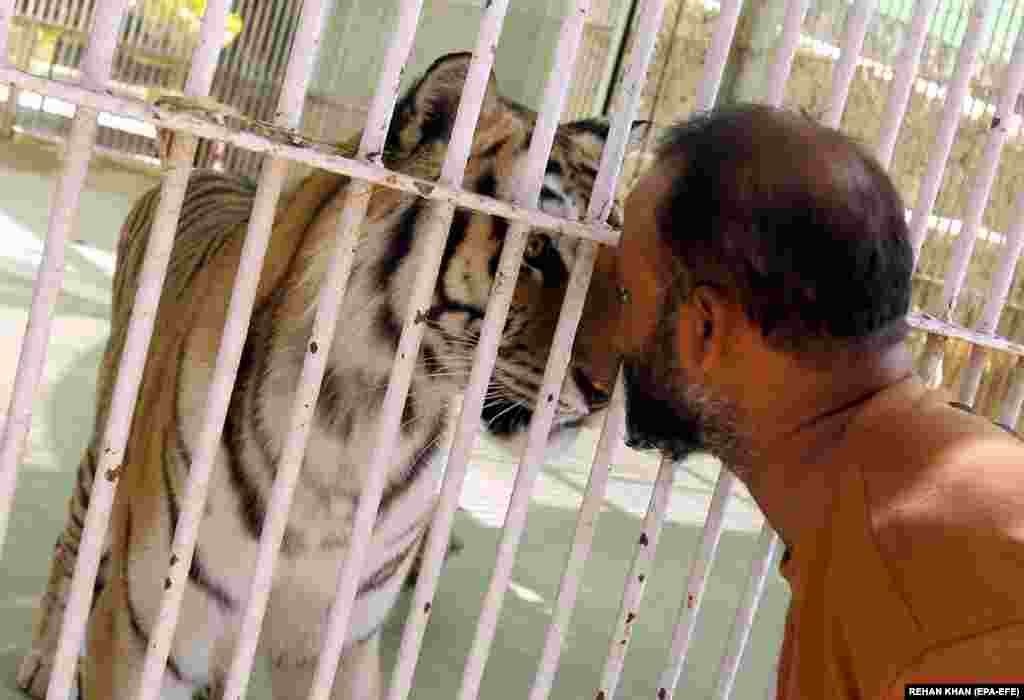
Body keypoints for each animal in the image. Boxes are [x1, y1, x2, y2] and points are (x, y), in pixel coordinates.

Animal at [16, 53, 643, 700]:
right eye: (538, 249)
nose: (611, 393)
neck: (358, 426)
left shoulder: (339, 639)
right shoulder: (148, 630)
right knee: (71, 549)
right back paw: (43, 659)